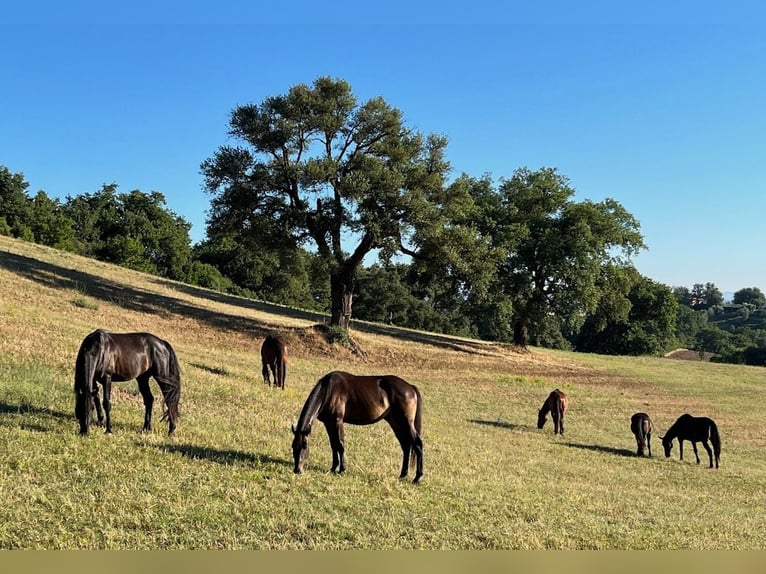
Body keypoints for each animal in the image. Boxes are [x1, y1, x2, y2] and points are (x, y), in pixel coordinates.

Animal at [292, 372, 426, 484]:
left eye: (305, 446)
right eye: (293, 446)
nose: (297, 470)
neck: (329, 391)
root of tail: (410, 387)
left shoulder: (337, 421)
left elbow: (340, 445)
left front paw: (342, 470)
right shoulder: (328, 423)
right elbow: (333, 445)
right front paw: (333, 468)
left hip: (407, 423)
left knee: (418, 445)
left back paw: (417, 477)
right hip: (396, 424)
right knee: (406, 446)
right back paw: (403, 474)